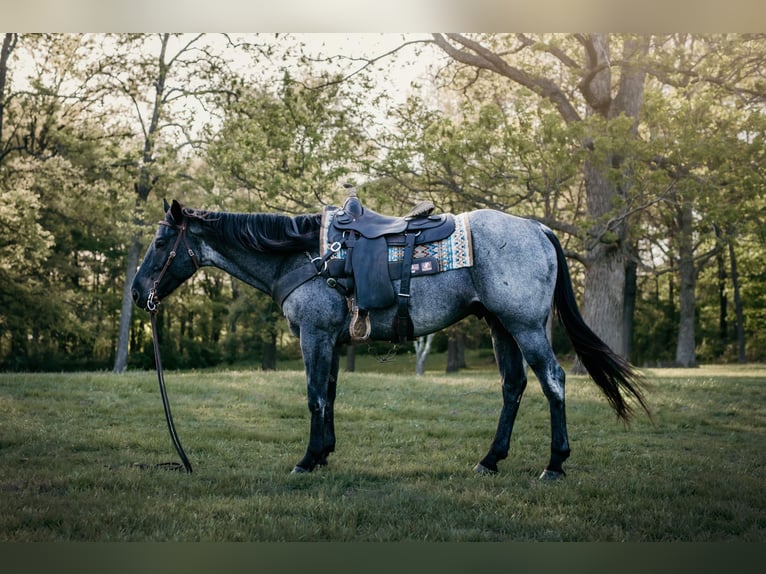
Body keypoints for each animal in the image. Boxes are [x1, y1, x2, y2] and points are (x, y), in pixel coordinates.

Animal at [131, 198, 649, 479]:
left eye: (160, 243)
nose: (138, 293)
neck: (302, 255)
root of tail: (538, 228)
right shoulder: (331, 340)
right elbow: (330, 394)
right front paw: (324, 453)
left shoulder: (315, 335)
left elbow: (314, 395)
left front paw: (307, 459)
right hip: (500, 325)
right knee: (513, 387)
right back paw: (490, 459)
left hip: (523, 325)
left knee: (553, 380)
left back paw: (555, 464)